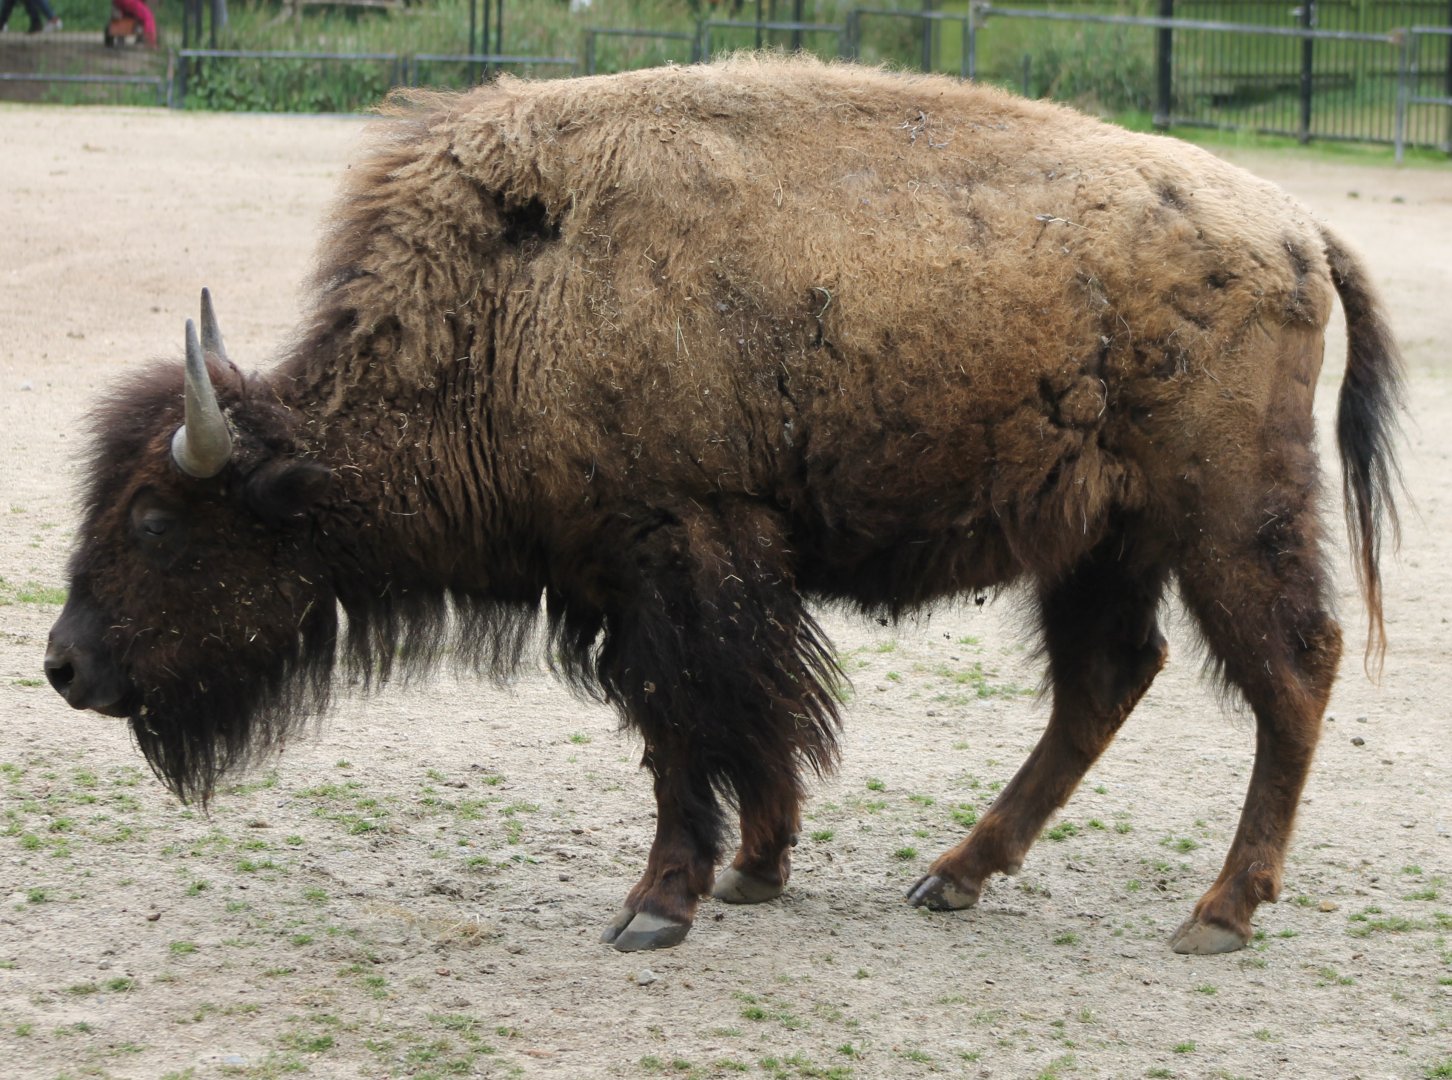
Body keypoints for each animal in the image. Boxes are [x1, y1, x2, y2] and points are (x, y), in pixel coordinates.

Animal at [44, 56, 1402, 954]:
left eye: (155, 523)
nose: (63, 665)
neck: (510, 309)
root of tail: (1297, 224)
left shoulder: (678, 557)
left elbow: (692, 725)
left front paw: (658, 906)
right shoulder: (665, 579)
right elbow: (746, 721)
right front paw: (757, 869)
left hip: (1227, 519)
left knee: (1291, 671)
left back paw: (1218, 913)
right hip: (1100, 544)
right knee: (1106, 681)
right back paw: (954, 877)